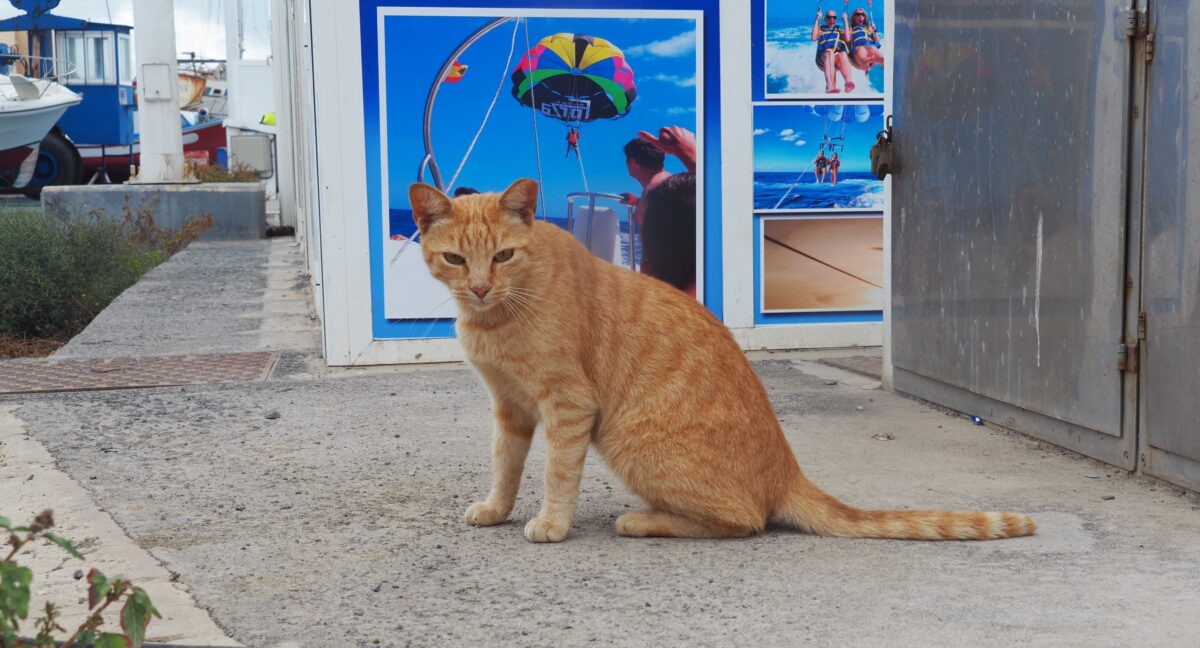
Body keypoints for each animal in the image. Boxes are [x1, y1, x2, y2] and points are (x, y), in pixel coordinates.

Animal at [408, 177, 1036, 542]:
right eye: (457, 260)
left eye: (504, 256)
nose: (481, 287)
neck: (498, 317)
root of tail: (788, 470)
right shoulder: (510, 408)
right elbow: (505, 465)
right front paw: (497, 509)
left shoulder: (567, 406)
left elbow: (557, 472)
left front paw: (552, 524)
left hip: (628, 439)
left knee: (746, 521)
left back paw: (643, 520)